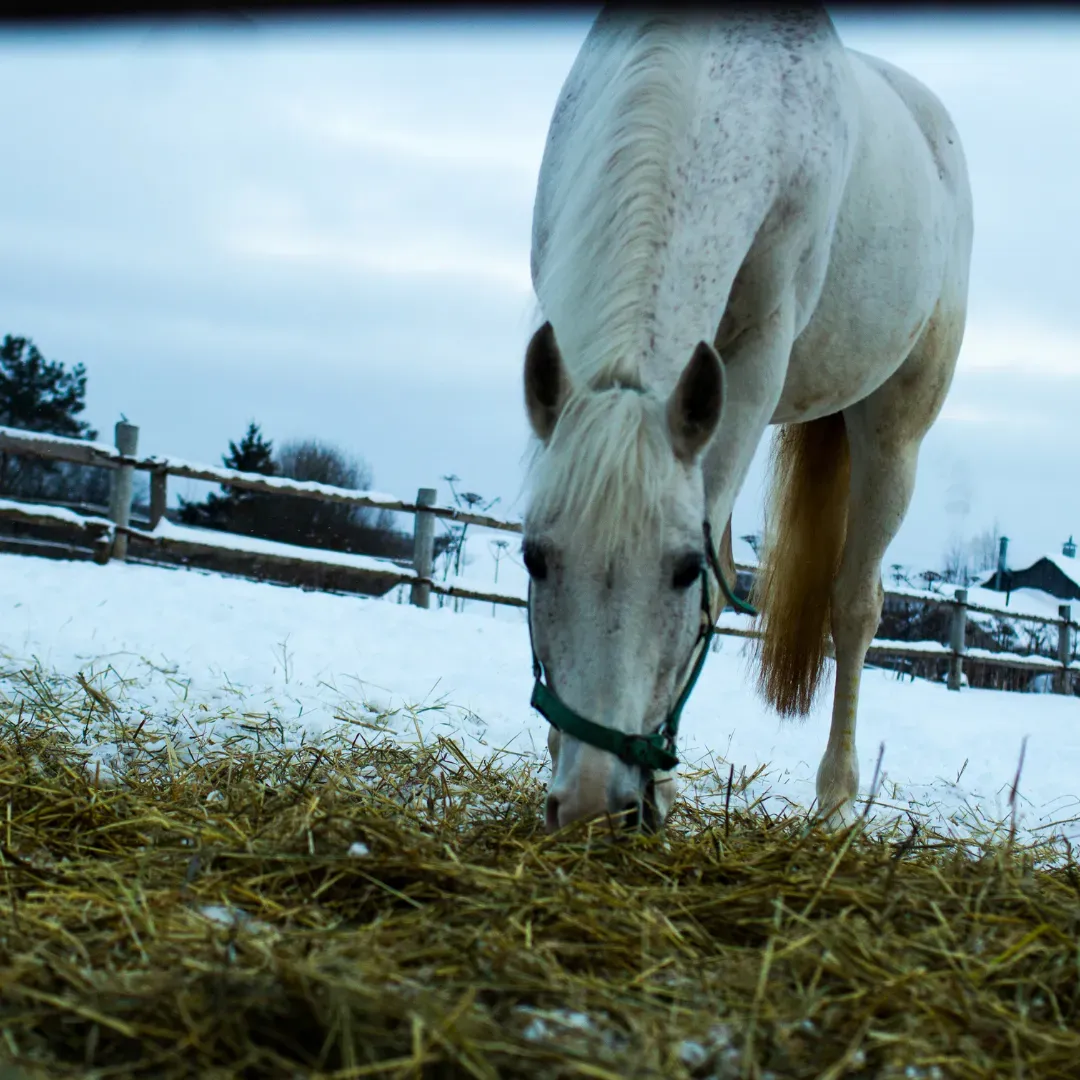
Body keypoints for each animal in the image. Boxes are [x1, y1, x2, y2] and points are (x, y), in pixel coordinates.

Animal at [520, 4, 973, 833]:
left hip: (892, 435)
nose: (594, 805)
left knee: (855, 608)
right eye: (535, 558)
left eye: (679, 570)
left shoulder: (758, 353)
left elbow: (721, 582)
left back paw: (835, 800)